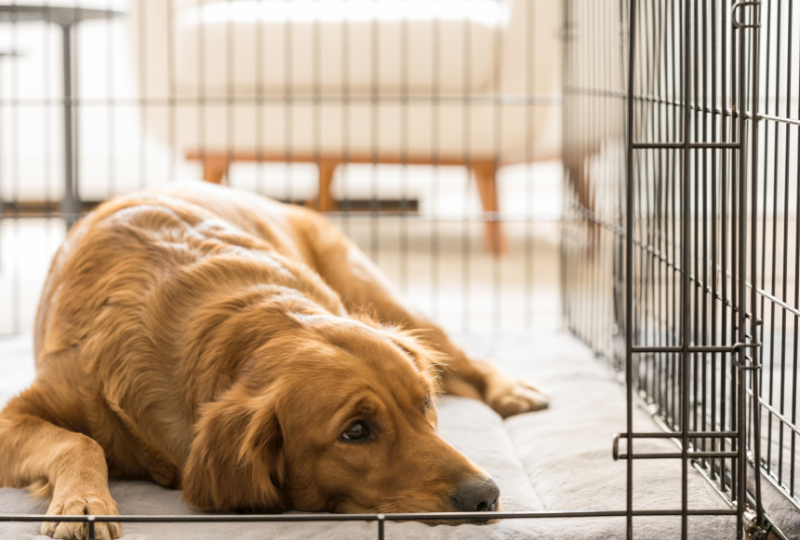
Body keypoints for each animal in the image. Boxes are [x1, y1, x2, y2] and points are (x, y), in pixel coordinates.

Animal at [0, 182, 552, 540]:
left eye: (425, 405)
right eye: (356, 430)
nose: (485, 496)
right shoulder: (13, 417)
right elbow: (80, 441)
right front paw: (84, 502)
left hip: (379, 294)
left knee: (464, 358)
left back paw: (511, 391)